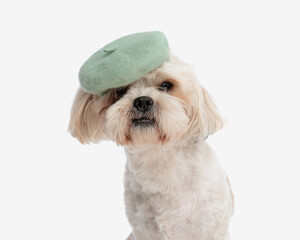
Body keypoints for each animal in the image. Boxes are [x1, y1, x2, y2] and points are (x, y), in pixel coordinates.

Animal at [68, 32, 234, 240]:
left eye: (166, 85)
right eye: (120, 90)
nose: (143, 101)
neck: (159, 158)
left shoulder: (211, 226)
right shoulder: (144, 230)